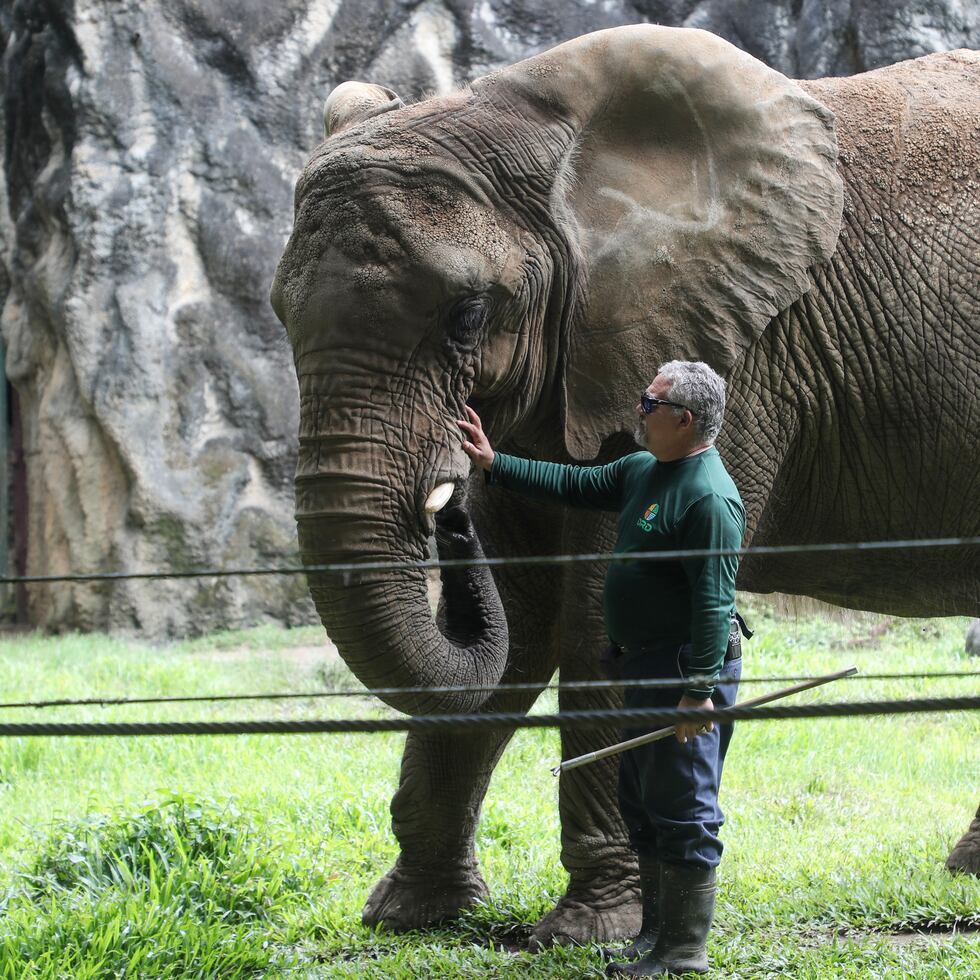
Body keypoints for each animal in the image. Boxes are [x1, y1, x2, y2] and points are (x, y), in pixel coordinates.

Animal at [272, 26, 980, 944]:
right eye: (279, 312)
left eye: (468, 314)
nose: (451, 503)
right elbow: (521, 623)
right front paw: (410, 918)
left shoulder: (732, 351)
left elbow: (597, 611)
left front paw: (587, 930)